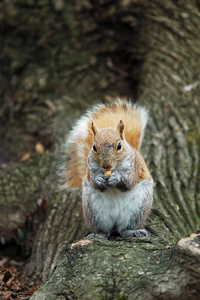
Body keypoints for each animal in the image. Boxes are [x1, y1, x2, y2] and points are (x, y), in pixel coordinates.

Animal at [61, 98, 153, 239]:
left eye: (119, 146)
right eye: (94, 147)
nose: (106, 166)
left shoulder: (134, 167)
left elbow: (128, 182)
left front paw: (116, 177)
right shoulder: (91, 169)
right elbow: (95, 183)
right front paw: (99, 179)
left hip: (138, 211)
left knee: (123, 229)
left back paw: (132, 231)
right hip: (94, 212)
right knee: (106, 231)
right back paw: (99, 234)